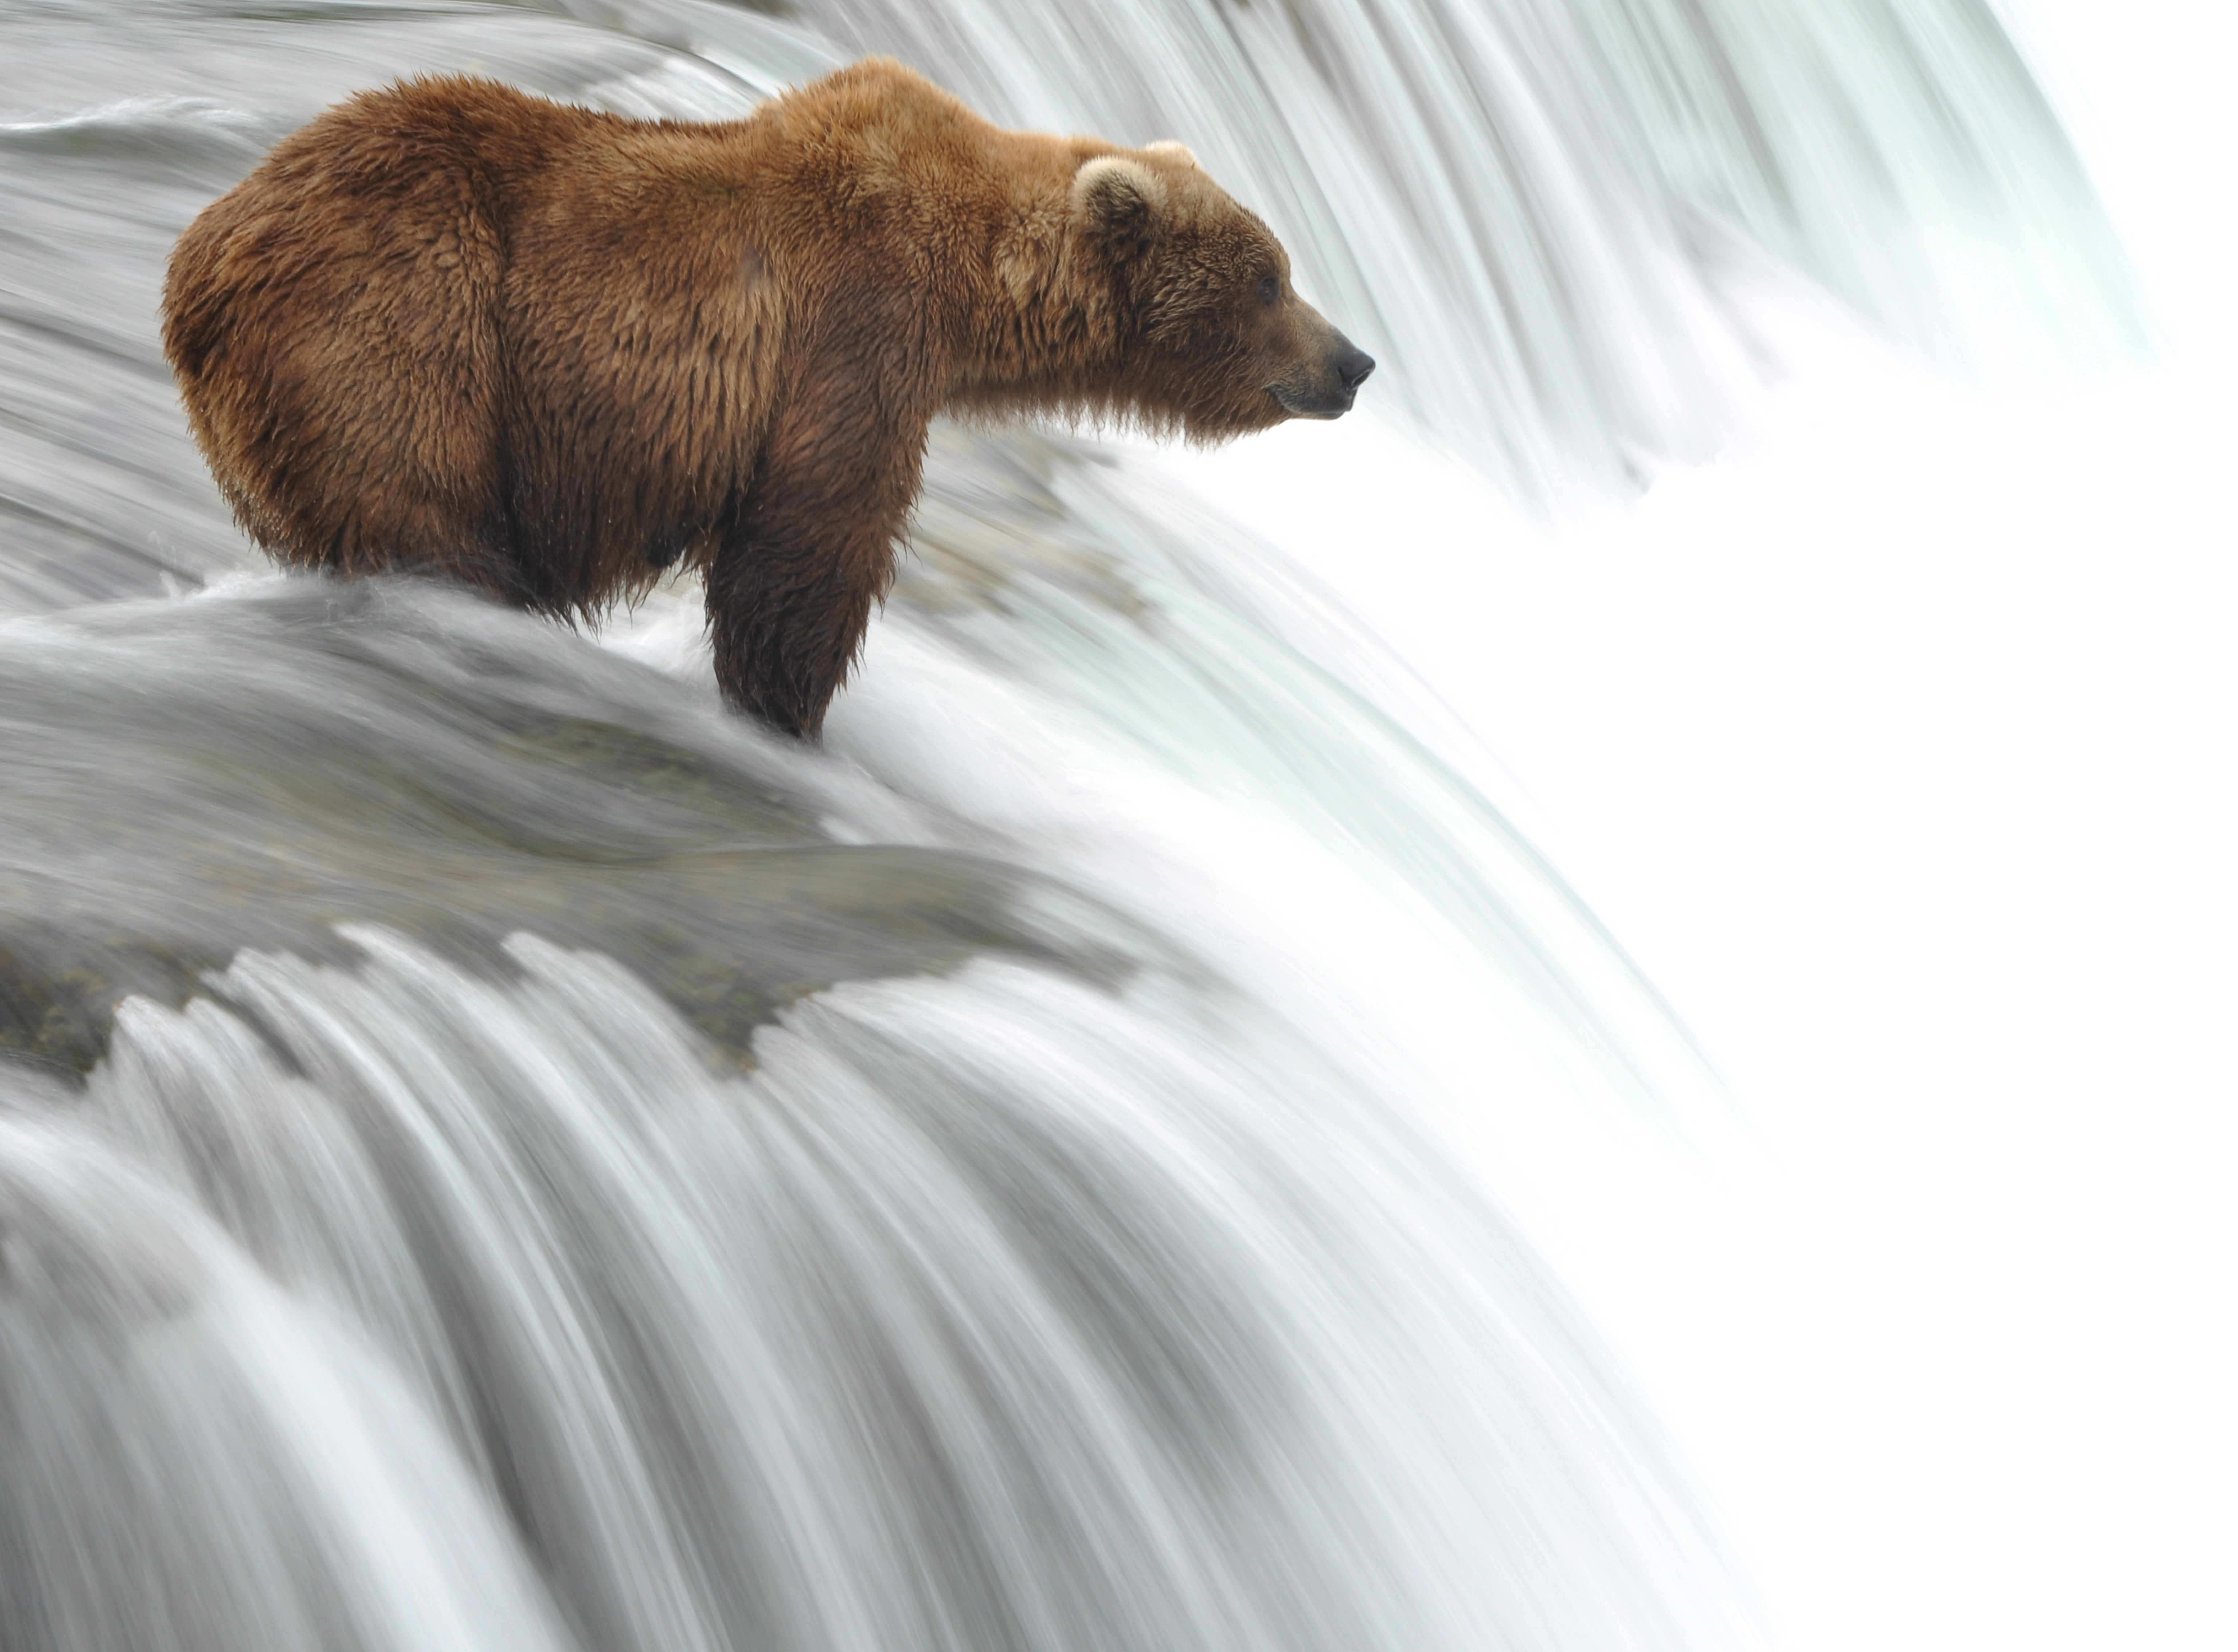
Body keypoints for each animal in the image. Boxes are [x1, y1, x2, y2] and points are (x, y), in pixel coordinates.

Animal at [161, 59, 1375, 738]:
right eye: (1269, 278)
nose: (1356, 360)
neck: (971, 282)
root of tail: (195, 261)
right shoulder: (851, 329)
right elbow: (806, 547)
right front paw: (784, 713)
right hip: (405, 318)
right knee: (424, 514)